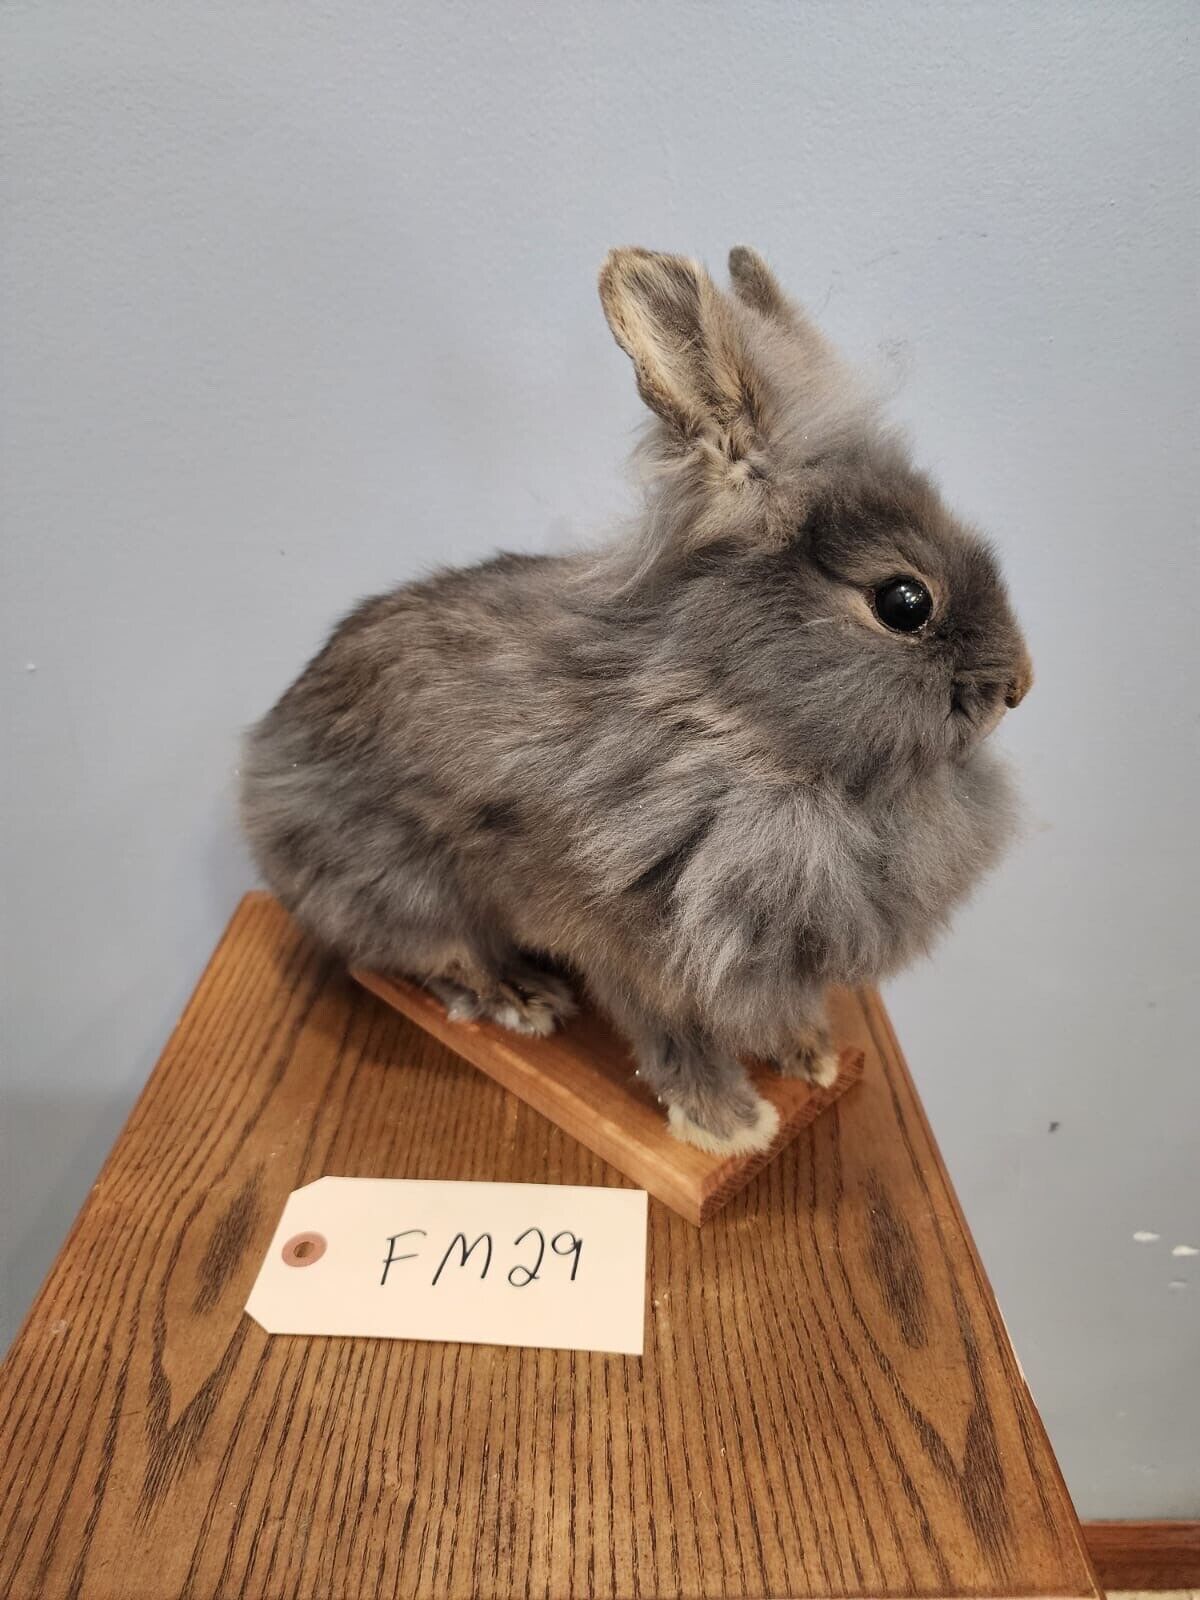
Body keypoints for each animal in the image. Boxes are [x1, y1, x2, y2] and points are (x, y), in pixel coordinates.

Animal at [241, 246, 1036, 1152]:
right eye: (905, 602)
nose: (1020, 685)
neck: (744, 737)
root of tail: (259, 774)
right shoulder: (634, 948)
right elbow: (671, 1033)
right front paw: (731, 1123)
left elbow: (779, 1011)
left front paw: (811, 1057)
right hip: (396, 884)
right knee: (428, 956)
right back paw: (521, 997)